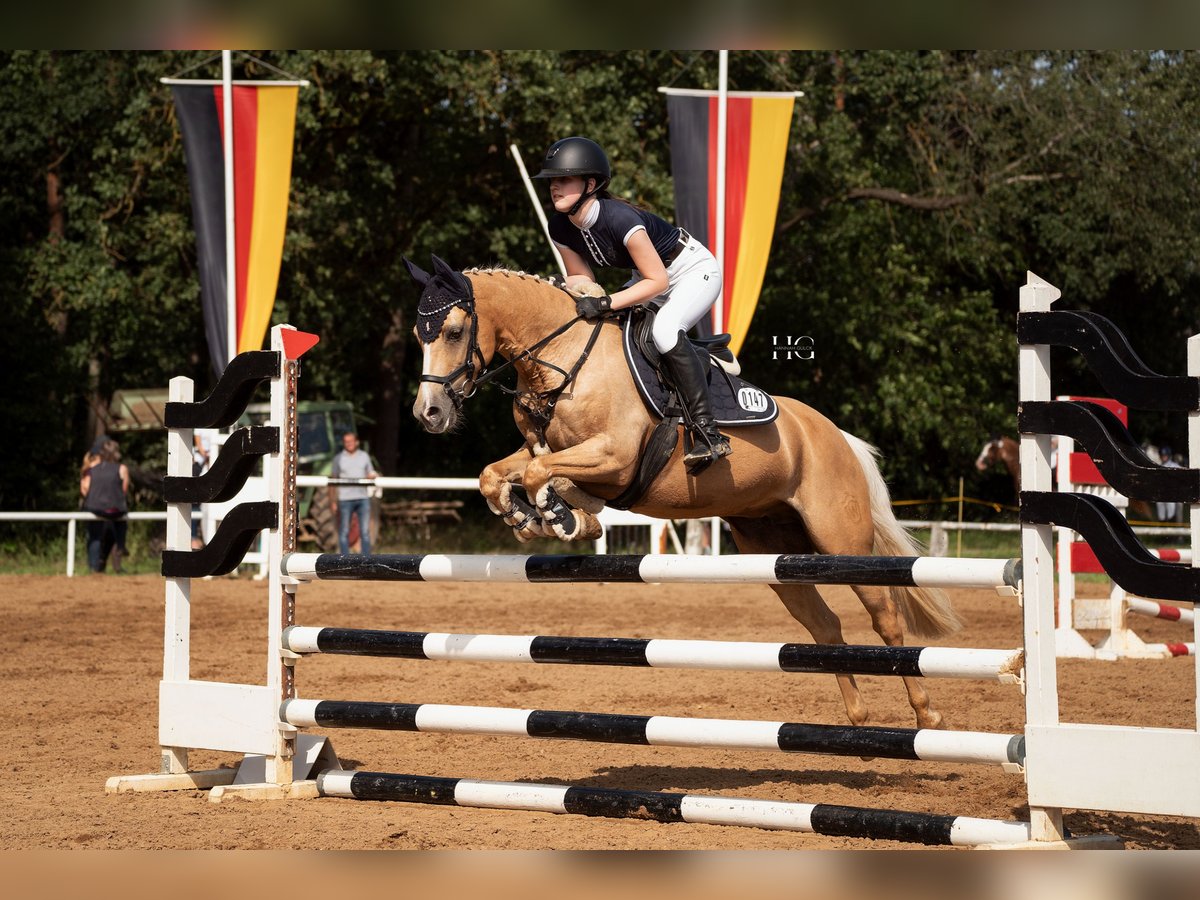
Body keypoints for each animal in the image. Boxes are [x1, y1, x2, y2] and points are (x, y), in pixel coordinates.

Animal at [408, 255, 960, 734]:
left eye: (454, 332)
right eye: (419, 335)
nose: (428, 413)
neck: (564, 362)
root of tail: (835, 435)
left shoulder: (615, 458)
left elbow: (546, 473)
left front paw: (564, 516)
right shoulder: (546, 450)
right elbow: (498, 474)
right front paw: (530, 516)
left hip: (839, 540)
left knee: (885, 617)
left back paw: (927, 716)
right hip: (771, 549)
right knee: (824, 625)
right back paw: (857, 718)